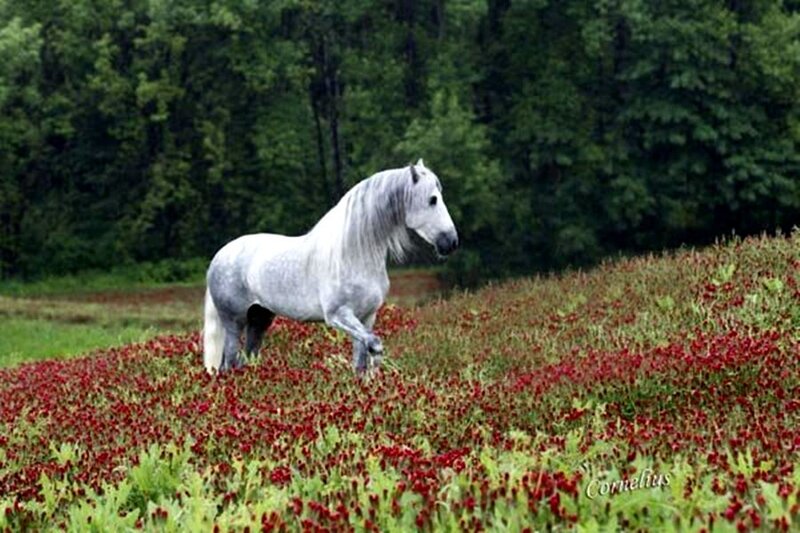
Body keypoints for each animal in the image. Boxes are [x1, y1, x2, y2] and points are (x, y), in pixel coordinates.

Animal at [203, 159, 459, 374]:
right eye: (432, 199)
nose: (451, 242)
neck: (353, 254)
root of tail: (219, 256)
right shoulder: (338, 315)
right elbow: (374, 345)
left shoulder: (366, 317)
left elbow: (360, 362)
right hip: (234, 321)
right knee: (228, 364)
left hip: (259, 319)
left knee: (245, 359)